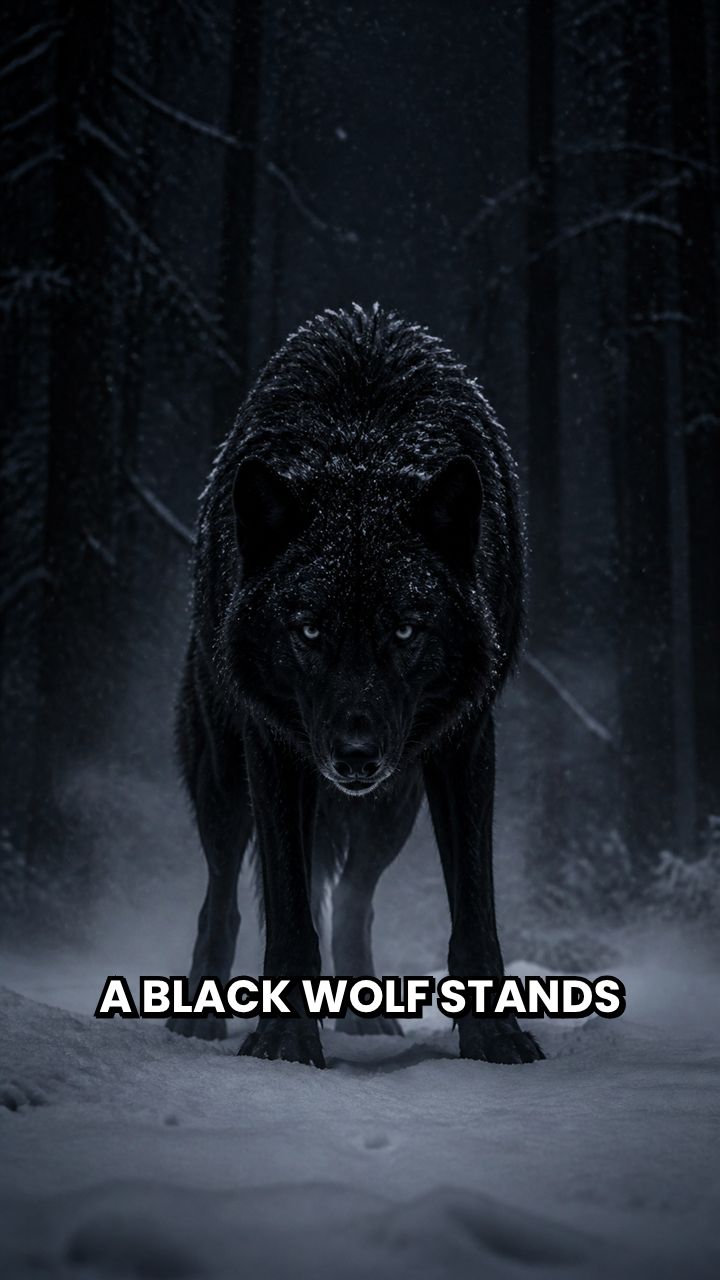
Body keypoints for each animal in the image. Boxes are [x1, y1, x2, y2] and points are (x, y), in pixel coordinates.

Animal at [168, 304, 543, 1068]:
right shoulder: (273, 745)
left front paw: (495, 1039)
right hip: (225, 777)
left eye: (405, 630)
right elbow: (287, 911)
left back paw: (364, 1017)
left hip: (391, 806)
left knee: (353, 900)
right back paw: (199, 1018)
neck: (363, 442)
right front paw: (284, 1042)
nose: (355, 756)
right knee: (222, 899)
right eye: (309, 631)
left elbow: (474, 911)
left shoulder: (466, 741)